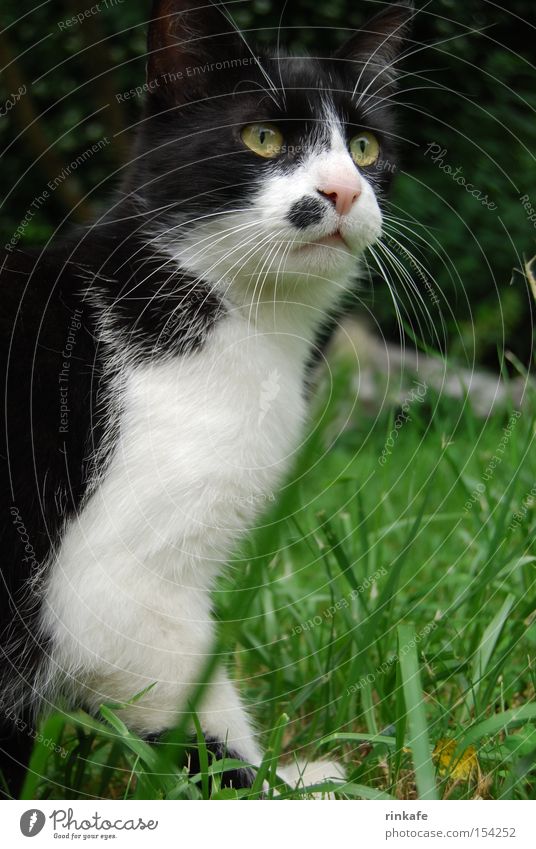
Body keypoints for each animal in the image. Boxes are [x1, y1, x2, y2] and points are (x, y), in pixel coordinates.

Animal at [0, 0, 412, 796]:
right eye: (263, 138)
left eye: (366, 146)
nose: (345, 191)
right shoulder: (112, 584)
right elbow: (188, 691)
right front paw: (284, 785)